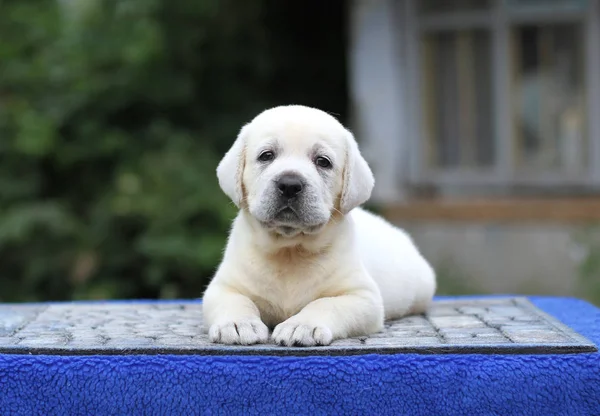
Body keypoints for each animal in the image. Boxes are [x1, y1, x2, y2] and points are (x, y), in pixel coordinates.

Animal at [203, 105, 436, 346]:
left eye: (323, 161)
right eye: (266, 156)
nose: (289, 184)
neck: (289, 250)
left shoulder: (362, 296)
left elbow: (325, 303)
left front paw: (301, 325)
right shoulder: (222, 287)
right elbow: (235, 301)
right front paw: (238, 323)